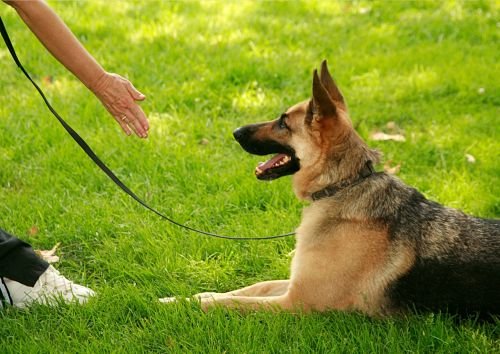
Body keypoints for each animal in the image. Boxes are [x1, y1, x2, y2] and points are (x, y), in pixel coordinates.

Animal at [162, 61, 498, 318]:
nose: (235, 132)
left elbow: (231, 302)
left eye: (283, 123)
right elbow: (250, 287)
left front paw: (178, 305)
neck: (341, 185)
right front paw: (185, 296)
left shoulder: (297, 302)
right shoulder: (294, 284)